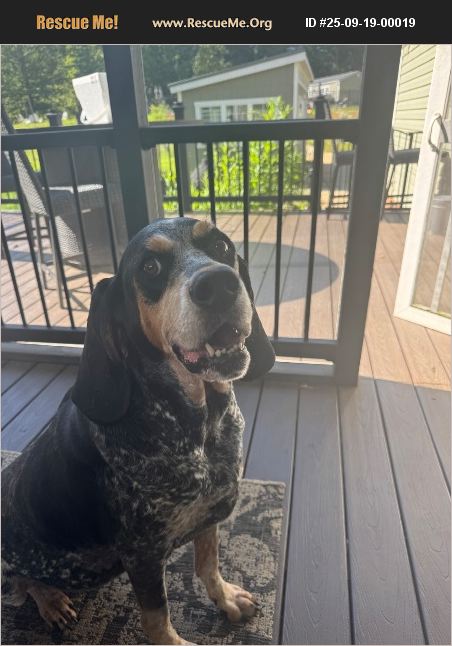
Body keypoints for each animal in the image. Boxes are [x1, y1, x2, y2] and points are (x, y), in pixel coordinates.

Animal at [1, 217, 275, 644]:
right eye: (150, 267)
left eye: (221, 246)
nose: (218, 284)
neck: (198, 425)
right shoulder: (143, 553)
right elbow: (156, 617)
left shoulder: (209, 514)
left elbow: (208, 563)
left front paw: (226, 598)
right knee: (22, 581)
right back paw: (52, 600)